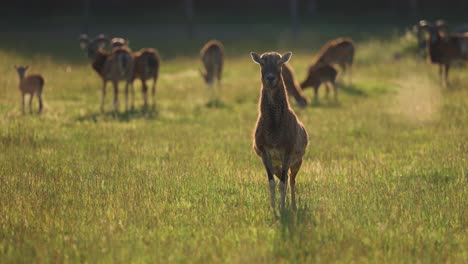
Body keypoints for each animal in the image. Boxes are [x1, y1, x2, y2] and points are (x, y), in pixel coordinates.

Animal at [250, 51, 308, 214]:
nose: (270, 78)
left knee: (292, 179)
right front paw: (273, 208)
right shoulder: (264, 152)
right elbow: (272, 182)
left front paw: (282, 208)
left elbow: (282, 183)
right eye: (262, 62)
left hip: (297, 161)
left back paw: (293, 205)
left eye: (280, 62)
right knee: (286, 178)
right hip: (278, 165)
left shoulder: (288, 151)